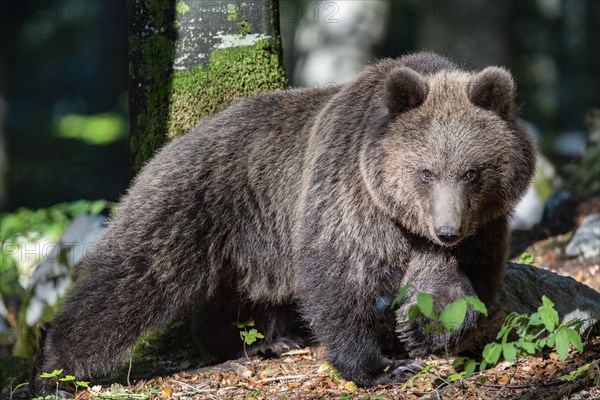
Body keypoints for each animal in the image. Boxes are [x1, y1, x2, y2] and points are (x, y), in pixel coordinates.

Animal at [30, 52, 536, 394]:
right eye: (425, 171)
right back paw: (54, 368)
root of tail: (170, 145)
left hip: (247, 248)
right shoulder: (350, 199)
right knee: (129, 280)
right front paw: (380, 367)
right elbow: (337, 279)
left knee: (231, 299)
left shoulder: (481, 228)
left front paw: (422, 332)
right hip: (194, 209)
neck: (401, 216)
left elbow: (464, 289)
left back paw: (260, 343)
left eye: (472, 171)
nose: (447, 229)